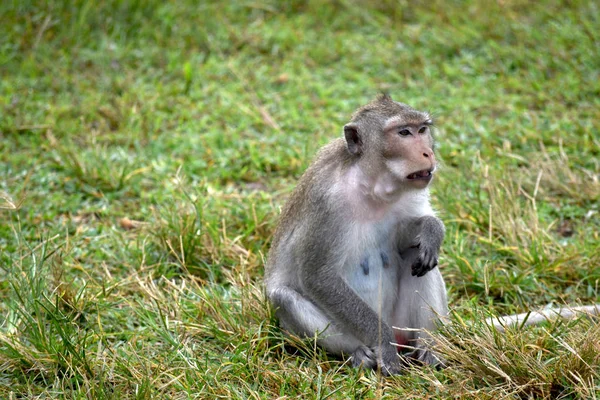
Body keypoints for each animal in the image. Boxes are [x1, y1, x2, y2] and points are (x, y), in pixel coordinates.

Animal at [264, 94, 448, 376]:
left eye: (422, 130)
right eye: (403, 133)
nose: (428, 152)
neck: (371, 185)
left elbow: (405, 241)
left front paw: (431, 230)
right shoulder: (327, 202)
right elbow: (319, 277)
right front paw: (384, 346)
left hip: (401, 323)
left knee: (417, 258)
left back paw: (428, 349)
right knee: (284, 297)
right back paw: (359, 354)